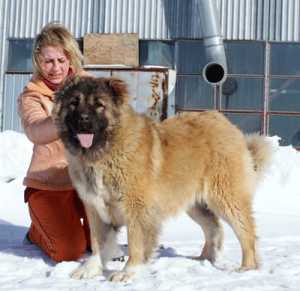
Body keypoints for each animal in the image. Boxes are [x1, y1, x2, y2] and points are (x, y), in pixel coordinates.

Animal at [52, 76, 274, 282]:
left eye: (99, 105)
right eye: (73, 103)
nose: (83, 120)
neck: (104, 151)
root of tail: (225, 123)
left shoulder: (137, 207)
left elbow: (135, 241)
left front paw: (128, 272)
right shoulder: (95, 207)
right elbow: (98, 242)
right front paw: (90, 269)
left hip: (225, 198)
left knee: (246, 232)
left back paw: (247, 268)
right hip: (195, 204)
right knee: (214, 228)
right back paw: (203, 259)